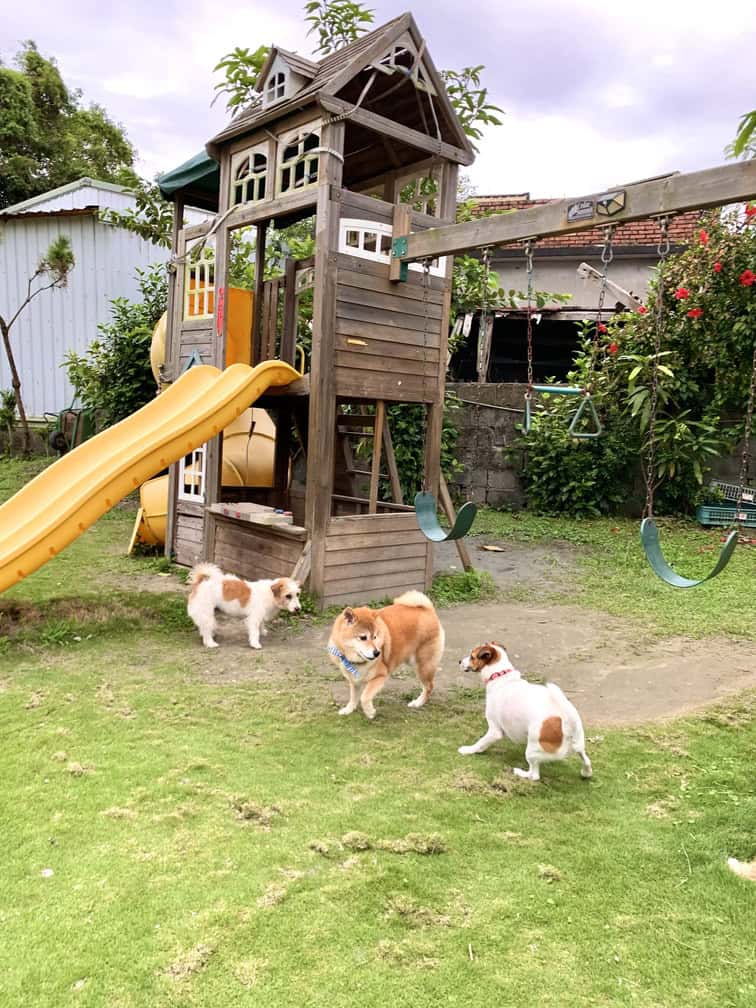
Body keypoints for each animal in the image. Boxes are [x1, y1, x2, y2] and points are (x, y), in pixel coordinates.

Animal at [326, 588, 443, 725]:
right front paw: (349, 709)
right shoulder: (354, 680)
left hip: (423, 666)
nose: (377, 653)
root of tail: (428, 609)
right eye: (363, 637)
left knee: (429, 687)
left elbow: (364, 697)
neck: (356, 661)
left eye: (375, 636)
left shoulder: (381, 676)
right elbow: (354, 697)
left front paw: (370, 712)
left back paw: (418, 703)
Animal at [459, 641, 596, 782]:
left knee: (534, 775)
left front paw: (469, 750)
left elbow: (481, 742)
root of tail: (567, 725)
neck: (500, 676)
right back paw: (586, 772)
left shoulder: (494, 730)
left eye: (472, 656)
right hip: (579, 745)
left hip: (532, 749)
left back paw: (520, 772)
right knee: (586, 760)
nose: (459, 661)